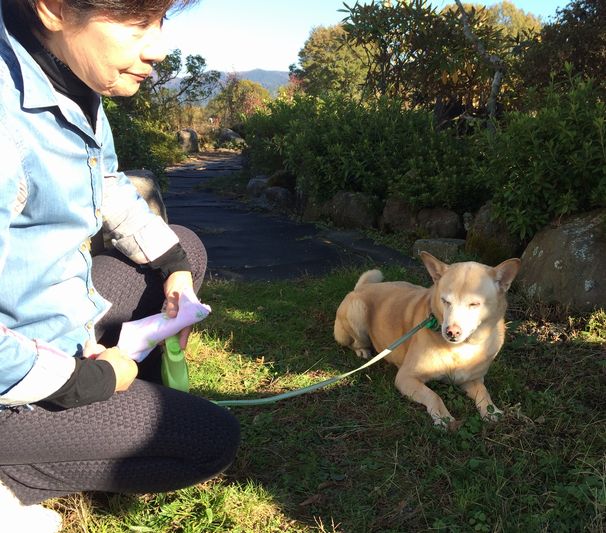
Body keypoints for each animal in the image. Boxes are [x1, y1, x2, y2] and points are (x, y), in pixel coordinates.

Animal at [338, 251, 524, 426]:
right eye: (445, 301)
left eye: (474, 304)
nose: (451, 332)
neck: (460, 349)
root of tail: (363, 287)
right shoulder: (406, 377)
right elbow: (434, 395)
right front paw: (443, 417)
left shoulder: (472, 380)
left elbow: (484, 392)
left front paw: (492, 410)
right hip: (357, 310)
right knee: (355, 342)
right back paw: (363, 350)